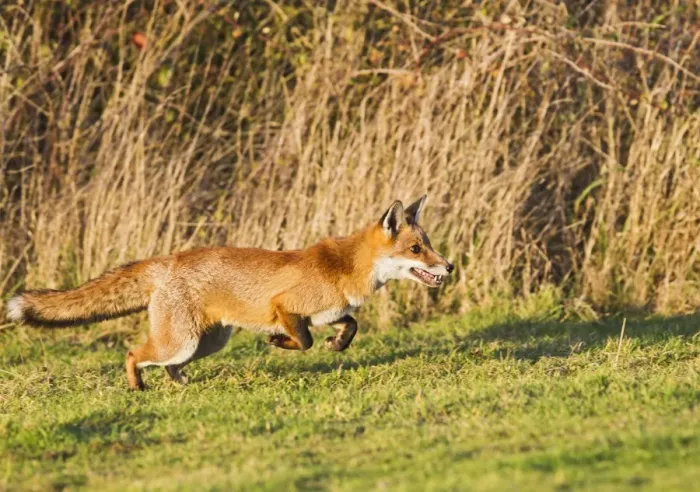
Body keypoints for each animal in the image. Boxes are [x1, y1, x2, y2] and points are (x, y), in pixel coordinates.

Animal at [6, 195, 453, 390]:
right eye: (416, 250)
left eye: (429, 245)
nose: (449, 266)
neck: (345, 268)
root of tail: (168, 259)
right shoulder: (285, 306)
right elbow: (303, 340)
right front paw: (278, 342)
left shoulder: (328, 312)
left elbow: (351, 325)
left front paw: (338, 344)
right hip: (179, 341)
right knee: (133, 354)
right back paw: (137, 387)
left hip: (205, 344)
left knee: (167, 366)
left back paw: (180, 385)